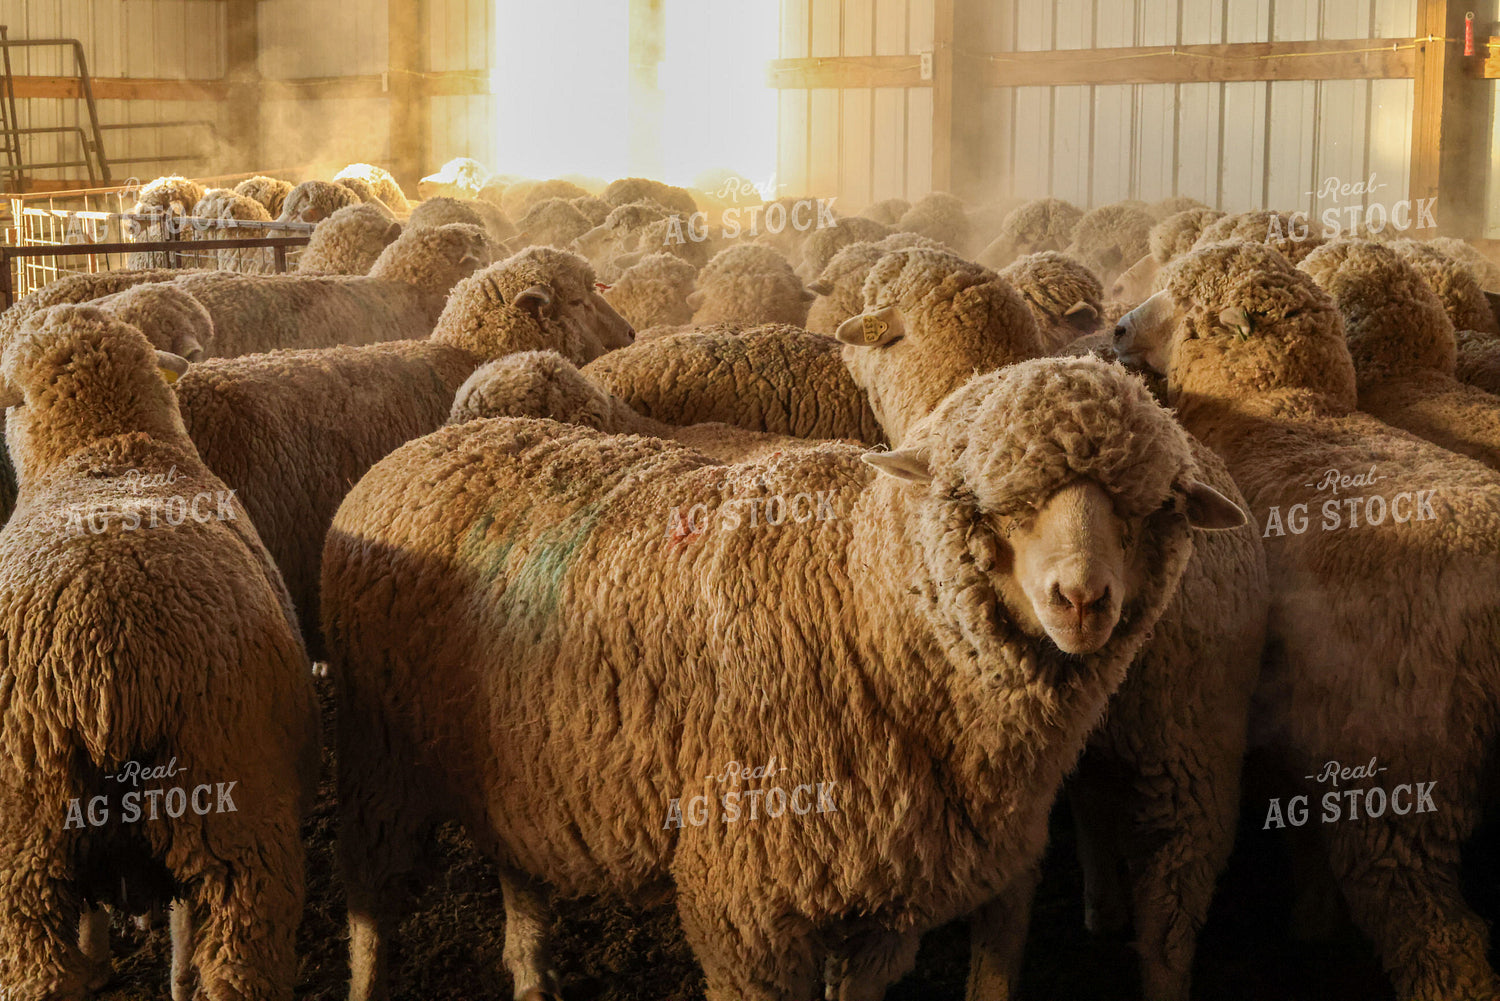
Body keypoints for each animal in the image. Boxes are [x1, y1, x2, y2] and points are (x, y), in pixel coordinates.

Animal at [322, 352, 1243, 1001]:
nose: (1082, 599)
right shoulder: (746, 907)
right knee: (370, 912)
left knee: (515, 863)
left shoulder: (882, 897)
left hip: (508, 758)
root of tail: (414, 450)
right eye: (992, 502)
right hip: (377, 756)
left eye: (1148, 508)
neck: (864, 598)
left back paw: (531, 974)